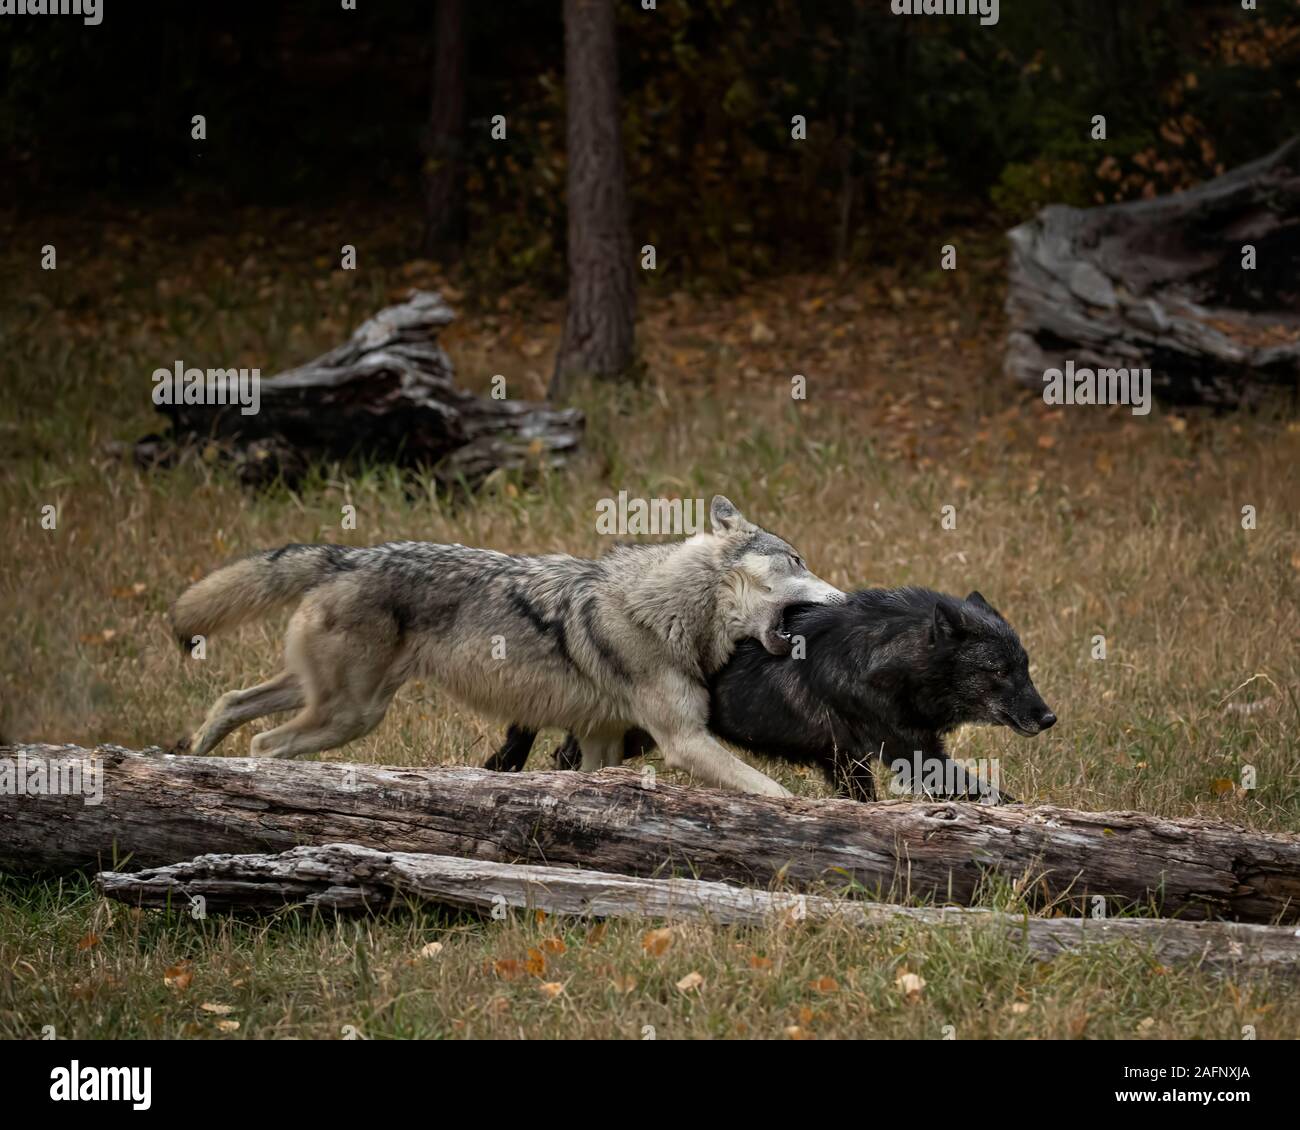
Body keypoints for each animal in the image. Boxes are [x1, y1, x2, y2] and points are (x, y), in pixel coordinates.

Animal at [172, 494, 837, 795]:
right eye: (798, 560)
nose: (842, 597)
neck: (667, 608)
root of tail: (348, 555)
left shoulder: (600, 742)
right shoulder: (684, 742)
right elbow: (774, 792)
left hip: (332, 700)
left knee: (231, 702)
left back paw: (190, 760)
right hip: (347, 714)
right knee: (263, 741)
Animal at [483, 585, 1050, 795]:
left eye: (1025, 667)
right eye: (1000, 671)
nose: (1049, 718)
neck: (884, 661)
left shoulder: (844, 762)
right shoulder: (912, 756)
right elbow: (993, 795)